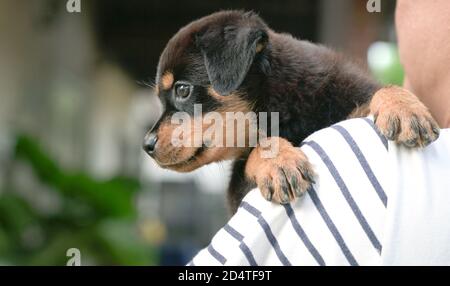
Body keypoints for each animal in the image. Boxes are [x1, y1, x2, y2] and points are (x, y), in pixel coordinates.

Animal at [144, 10, 440, 213]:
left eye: (182, 90)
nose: (146, 145)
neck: (283, 109)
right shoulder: (236, 192)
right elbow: (255, 152)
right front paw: (279, 163)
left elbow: (377, 92)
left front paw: (404, 108)